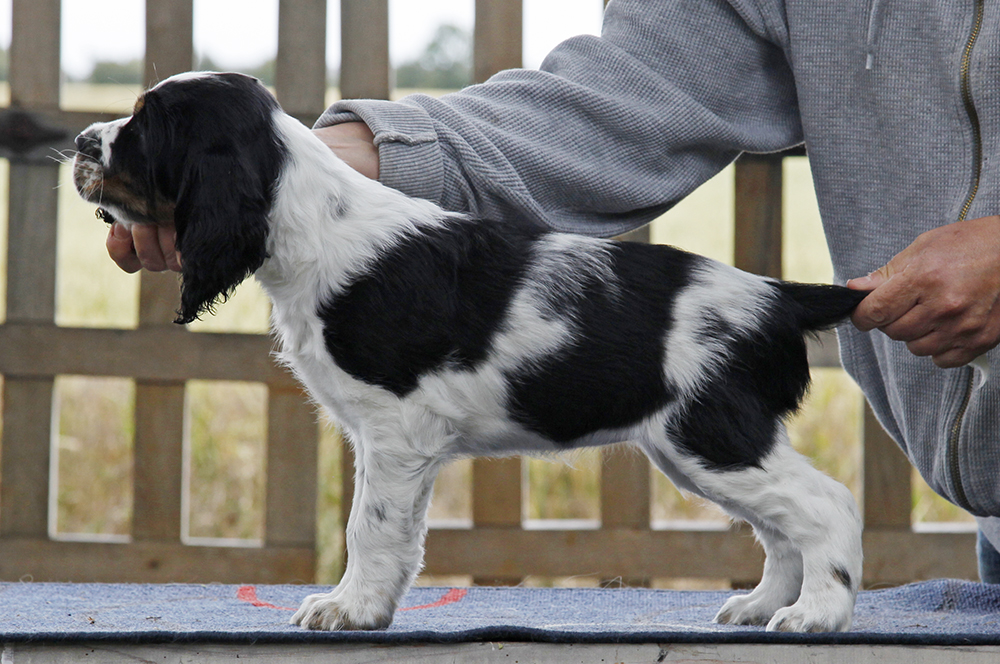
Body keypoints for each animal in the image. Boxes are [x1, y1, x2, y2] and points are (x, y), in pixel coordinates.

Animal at [72, 72, 868, 632]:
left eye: (145, 123)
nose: (81, 142)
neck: (316, 226)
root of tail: (775, 295)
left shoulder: (393, 429)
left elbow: (368, 525)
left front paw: (347, 609)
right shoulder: (398, 444)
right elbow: (396, 530)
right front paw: (368, 606)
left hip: (708, 434)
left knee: (823, 504)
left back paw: (814, 614)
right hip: (698, 450)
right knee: (780, 525)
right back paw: (761, 605)